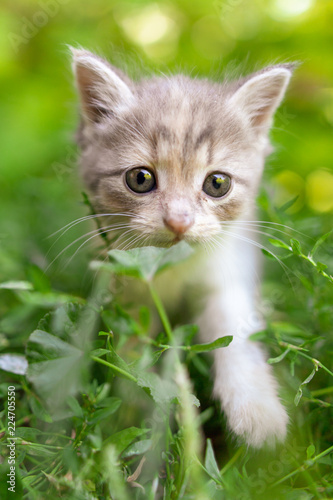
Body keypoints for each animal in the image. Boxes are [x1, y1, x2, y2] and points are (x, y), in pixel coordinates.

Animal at [70, 48, 294, 448]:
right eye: (140, 179)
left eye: (217, 183)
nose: (178, 221)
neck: (170, 266)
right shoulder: (124, 289)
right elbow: (130, 353)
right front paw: (136, 415)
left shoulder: (225, 273)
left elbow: (235, 333)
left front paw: (257, 412)